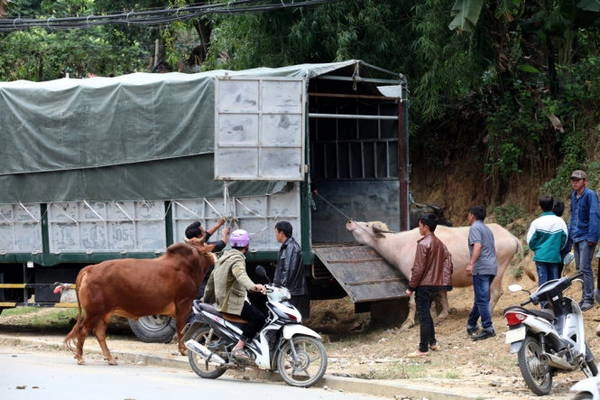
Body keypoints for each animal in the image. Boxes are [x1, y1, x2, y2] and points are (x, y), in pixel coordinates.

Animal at [64, 241, 214, 366]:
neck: (187, 266)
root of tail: (91, 268)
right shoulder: (184, 304)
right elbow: (182, 329)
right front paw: (183, 350)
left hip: (104, 313)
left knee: (99, 333)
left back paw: (110, 358)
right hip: (93, 312)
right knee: (83, 330)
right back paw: (80, 357)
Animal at [344, 220, 524, 330]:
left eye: (367, 224)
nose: (350, 221)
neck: (400, 245)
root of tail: (511, 237)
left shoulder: (415, 276)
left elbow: (413, 303)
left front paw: (407, 323)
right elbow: (441, 295)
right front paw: (442, 315)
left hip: (497, 270)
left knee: (496, 292)